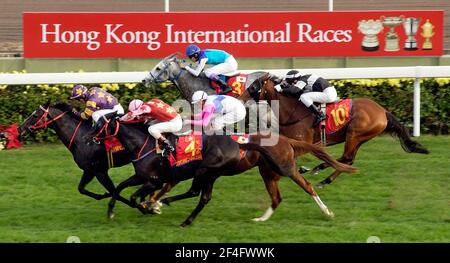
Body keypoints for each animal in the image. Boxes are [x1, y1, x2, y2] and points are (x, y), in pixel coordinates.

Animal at [93, 113, 356, 227]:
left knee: (307, 186)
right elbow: (119, 188)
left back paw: (326, 211)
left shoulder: (155, 179)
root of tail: (285, 140)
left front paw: (148, 205)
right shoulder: (146, 177)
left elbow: (138, 194)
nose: (90, 139)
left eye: (100, 125)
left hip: (279, 168)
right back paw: (260, 218)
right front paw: (115, 210)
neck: (145, 145)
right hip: (261, 173)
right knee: (274, 197)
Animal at [239, 73, 428, 189]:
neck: (292, 111)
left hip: (354, 133)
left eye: (254, 85)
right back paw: (323, 176)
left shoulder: (303, 141)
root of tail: (383, 111)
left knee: (346, 158)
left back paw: (320, 172)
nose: (240, 98)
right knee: (349, 159)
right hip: (359, 138)